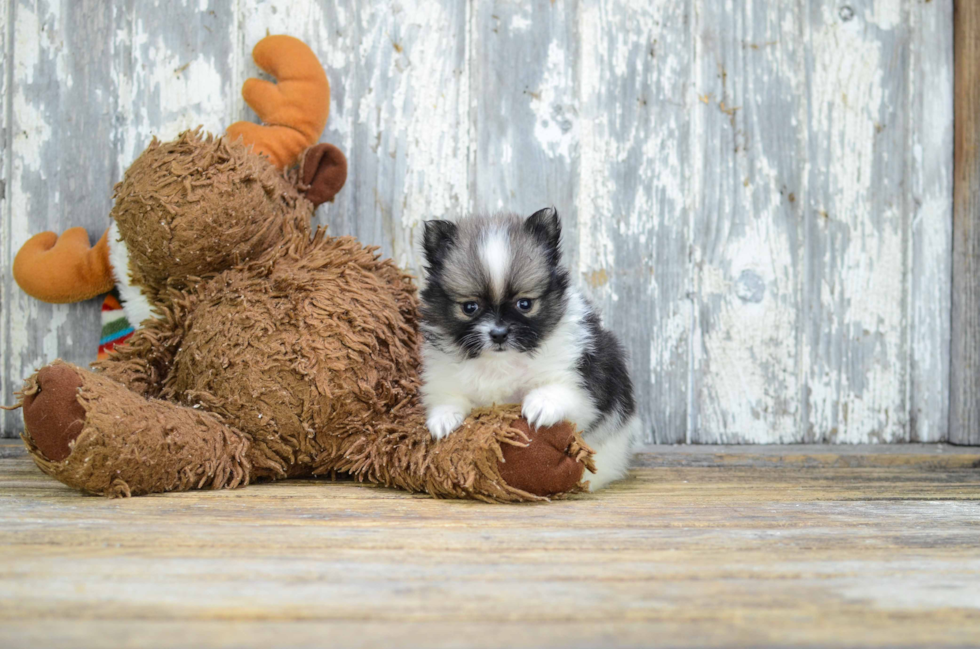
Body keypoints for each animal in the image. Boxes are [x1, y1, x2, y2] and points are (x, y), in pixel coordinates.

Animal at [418, 205, 640, 488]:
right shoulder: (445, 373)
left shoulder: (580, 381)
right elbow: (449, 397)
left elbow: (565, 393)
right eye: (470, 307)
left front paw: (542, 404)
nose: (498, 334)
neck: (501, 361)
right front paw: (444, 418)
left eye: (524, 304)